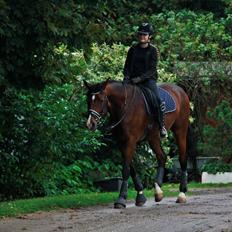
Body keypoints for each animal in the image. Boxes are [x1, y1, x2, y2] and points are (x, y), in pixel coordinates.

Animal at [84, 80, 189, 208]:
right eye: (88, 99)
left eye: (101, 99)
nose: (90, 124)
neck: (124, 107)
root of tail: (180, 90)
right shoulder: (121, 143)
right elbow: (131, 168)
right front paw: (140, 196)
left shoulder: (130, 141)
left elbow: (125, 170)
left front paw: (121, 199)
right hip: (153, 137)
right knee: (162, 157)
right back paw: (158, 191)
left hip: (180, 130)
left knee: (182, 158)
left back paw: (182, 194)